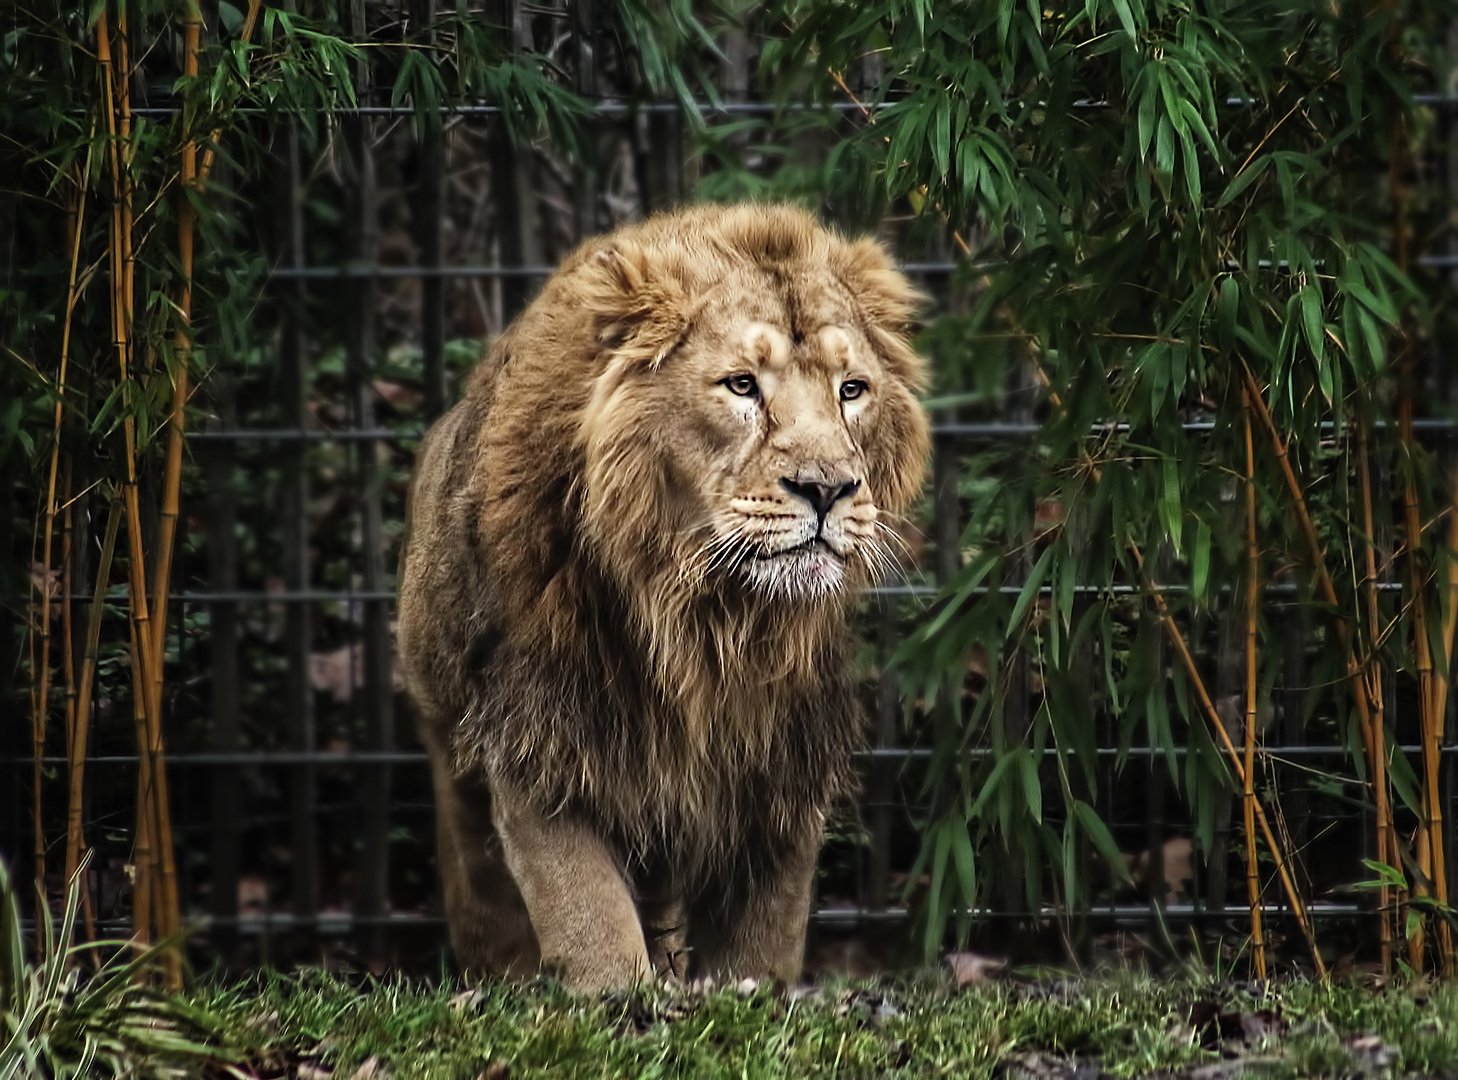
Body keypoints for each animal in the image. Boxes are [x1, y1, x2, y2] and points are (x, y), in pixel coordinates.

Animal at [393, 198, 927, 991]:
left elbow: (765, 935)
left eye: (851, 390)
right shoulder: (539, 738)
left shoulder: (783, 768)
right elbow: (586, 912)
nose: (828, 489)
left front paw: (747, 993)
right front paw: (616, 998)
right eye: (741, 385)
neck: (708, 613)